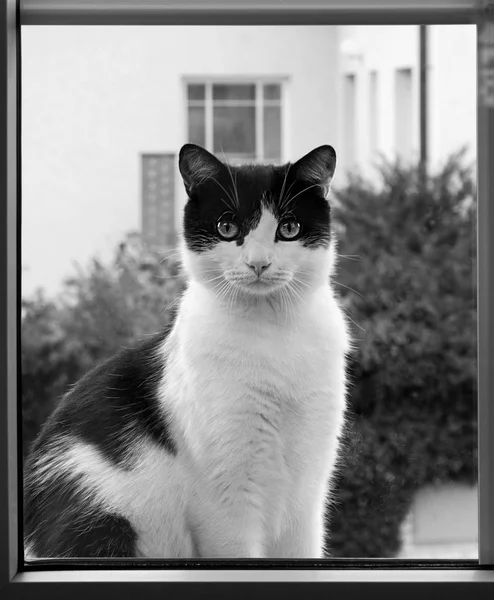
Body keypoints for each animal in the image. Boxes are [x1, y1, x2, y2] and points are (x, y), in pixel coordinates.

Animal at [23, 143, 352, 560]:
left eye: (289, 228)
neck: (272, 334)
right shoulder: (226, 500)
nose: (258, 263)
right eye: (227, 228)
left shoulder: (308, 493)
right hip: (103, 521)